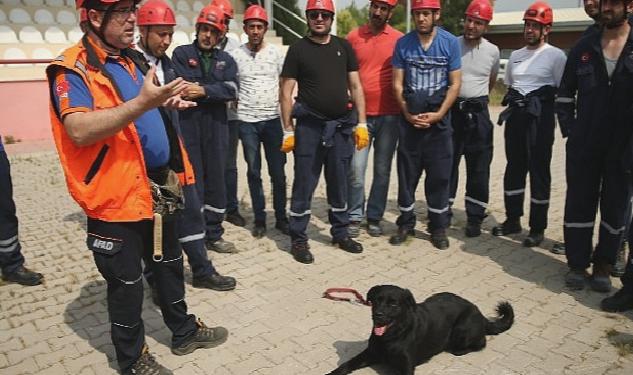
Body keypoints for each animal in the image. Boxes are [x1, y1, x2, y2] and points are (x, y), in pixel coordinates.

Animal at [326, 286, 512, 374]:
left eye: (393, 304)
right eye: (377, 300)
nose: (378, 315)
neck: (391, 337)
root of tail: (480, 314)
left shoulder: (406, 367)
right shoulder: (370, 353)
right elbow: (347, 364)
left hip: (462, 328)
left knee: (481, 342)